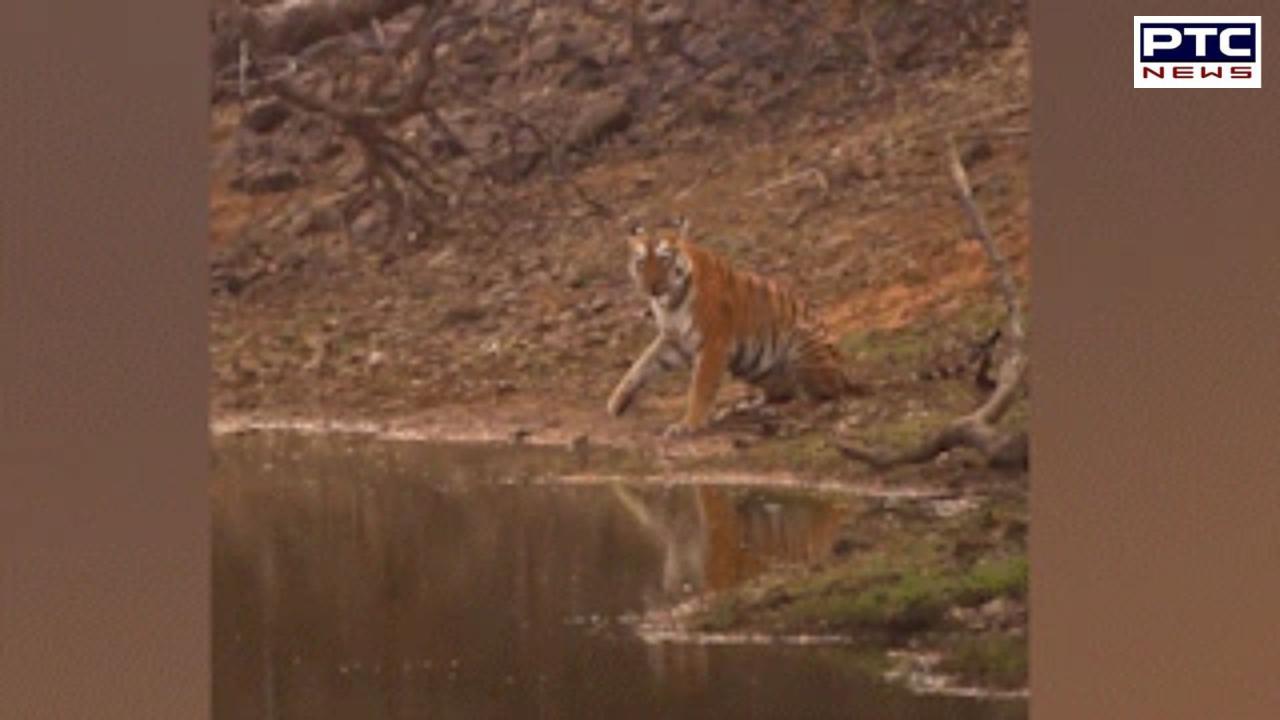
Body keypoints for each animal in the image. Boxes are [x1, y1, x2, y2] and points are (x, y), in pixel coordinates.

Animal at [604, 219, 855, 435]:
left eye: (664, 259)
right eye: (641, 262)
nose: (651, 287)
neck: (670, 302)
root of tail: (845, 372)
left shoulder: (713, 342)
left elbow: (700, 387)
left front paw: (688, 424)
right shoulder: (673, 339)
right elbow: (641, 365)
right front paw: (616, 402)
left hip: (802, 343)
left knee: (820, 397)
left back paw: (775, 411)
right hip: (758, 370)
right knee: (783, 393)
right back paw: (743, 408)